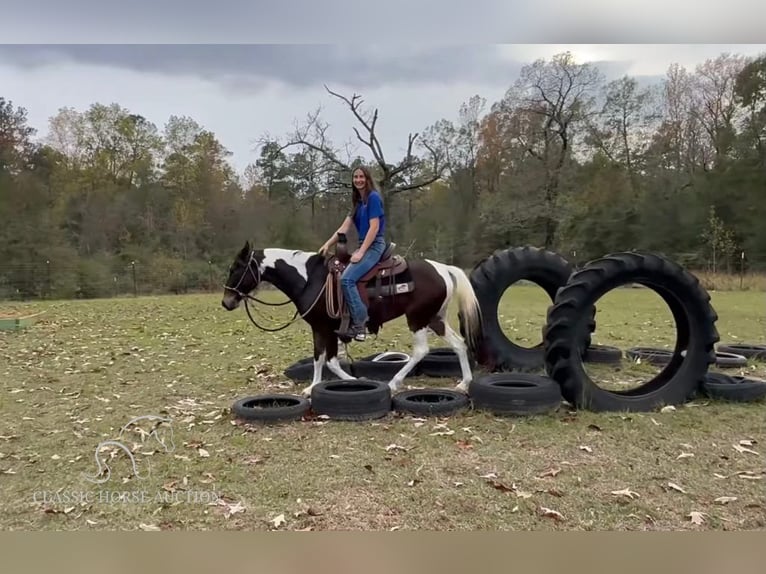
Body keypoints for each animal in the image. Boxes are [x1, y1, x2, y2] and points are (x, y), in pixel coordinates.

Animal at [224, 240, 486, 400]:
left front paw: (351, 381)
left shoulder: (324, 328)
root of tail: (443, 269)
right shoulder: (324, 329)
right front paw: (314, 387)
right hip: (434, 318)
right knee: (459, 344)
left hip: (417, 318)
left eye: (236, 267)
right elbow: (322, 359)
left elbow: (327, 360)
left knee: (421, 351)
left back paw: (393, 383)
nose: (226, 302)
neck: (310, 279)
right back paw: (464, 383)